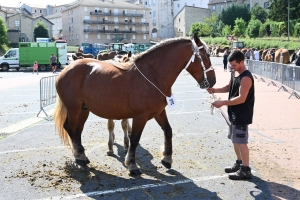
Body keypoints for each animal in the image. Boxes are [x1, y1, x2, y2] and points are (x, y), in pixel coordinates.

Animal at [52, 33, 214, 174]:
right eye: (206, 55)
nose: (213, 81)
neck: (154, 75)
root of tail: (66, 69)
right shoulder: (140, 117)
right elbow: (134, 139)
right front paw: (132, 164)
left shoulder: (159, 112)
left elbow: (168, 131)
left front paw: (167, 159)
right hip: (74, 108)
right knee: (70, 128)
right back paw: (80, 156)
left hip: (83, 109)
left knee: (77, 130)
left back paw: (81, 156)